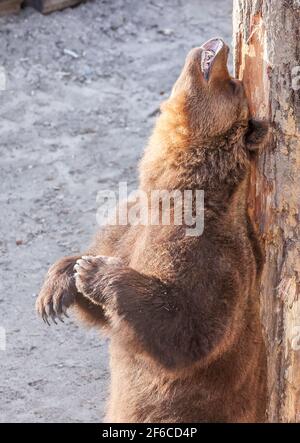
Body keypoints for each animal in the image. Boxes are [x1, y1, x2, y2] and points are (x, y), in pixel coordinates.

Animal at [36, 37, 268, 424]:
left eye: (235, 87)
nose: (222, 44)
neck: (171, 188)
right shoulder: (132, 224)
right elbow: (105, 302)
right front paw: (59, 285)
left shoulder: (211, 252)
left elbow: (190, 328)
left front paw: (94, 271)